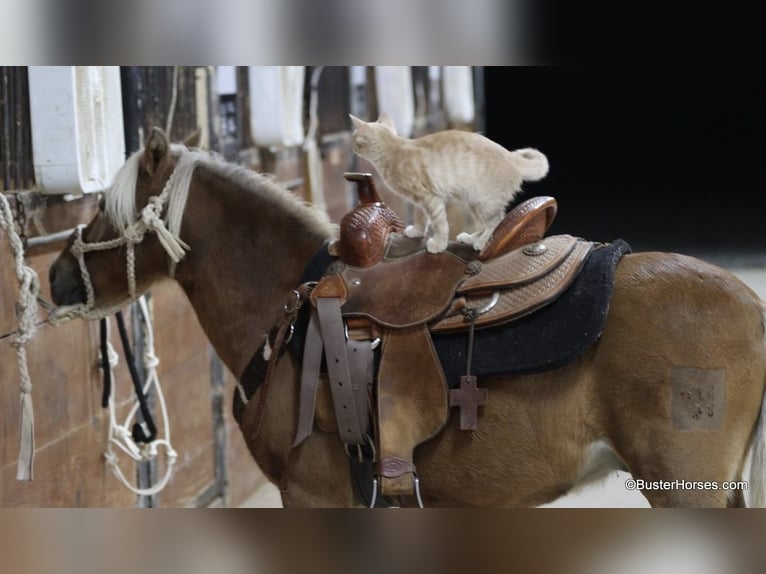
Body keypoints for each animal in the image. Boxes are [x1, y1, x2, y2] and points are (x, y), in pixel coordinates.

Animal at [48, 129, 766, 508]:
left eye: (110, 208)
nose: (56, 275)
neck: (284, 304)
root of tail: (753, 305)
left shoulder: (309, 496)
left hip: (685, 488)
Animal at [352, 113, 548, 253]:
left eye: (354, 136)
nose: (352, 148)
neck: (395, 150)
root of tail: (512, 157)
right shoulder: (419, 201)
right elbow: (420, 216)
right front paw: (417, 231)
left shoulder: (431, 198)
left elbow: (440, 224)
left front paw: (438, 245)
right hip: (474, 204)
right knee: (488, 224)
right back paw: (471, 238)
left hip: (486, 202)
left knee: (497, 222)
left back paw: (482, 242)